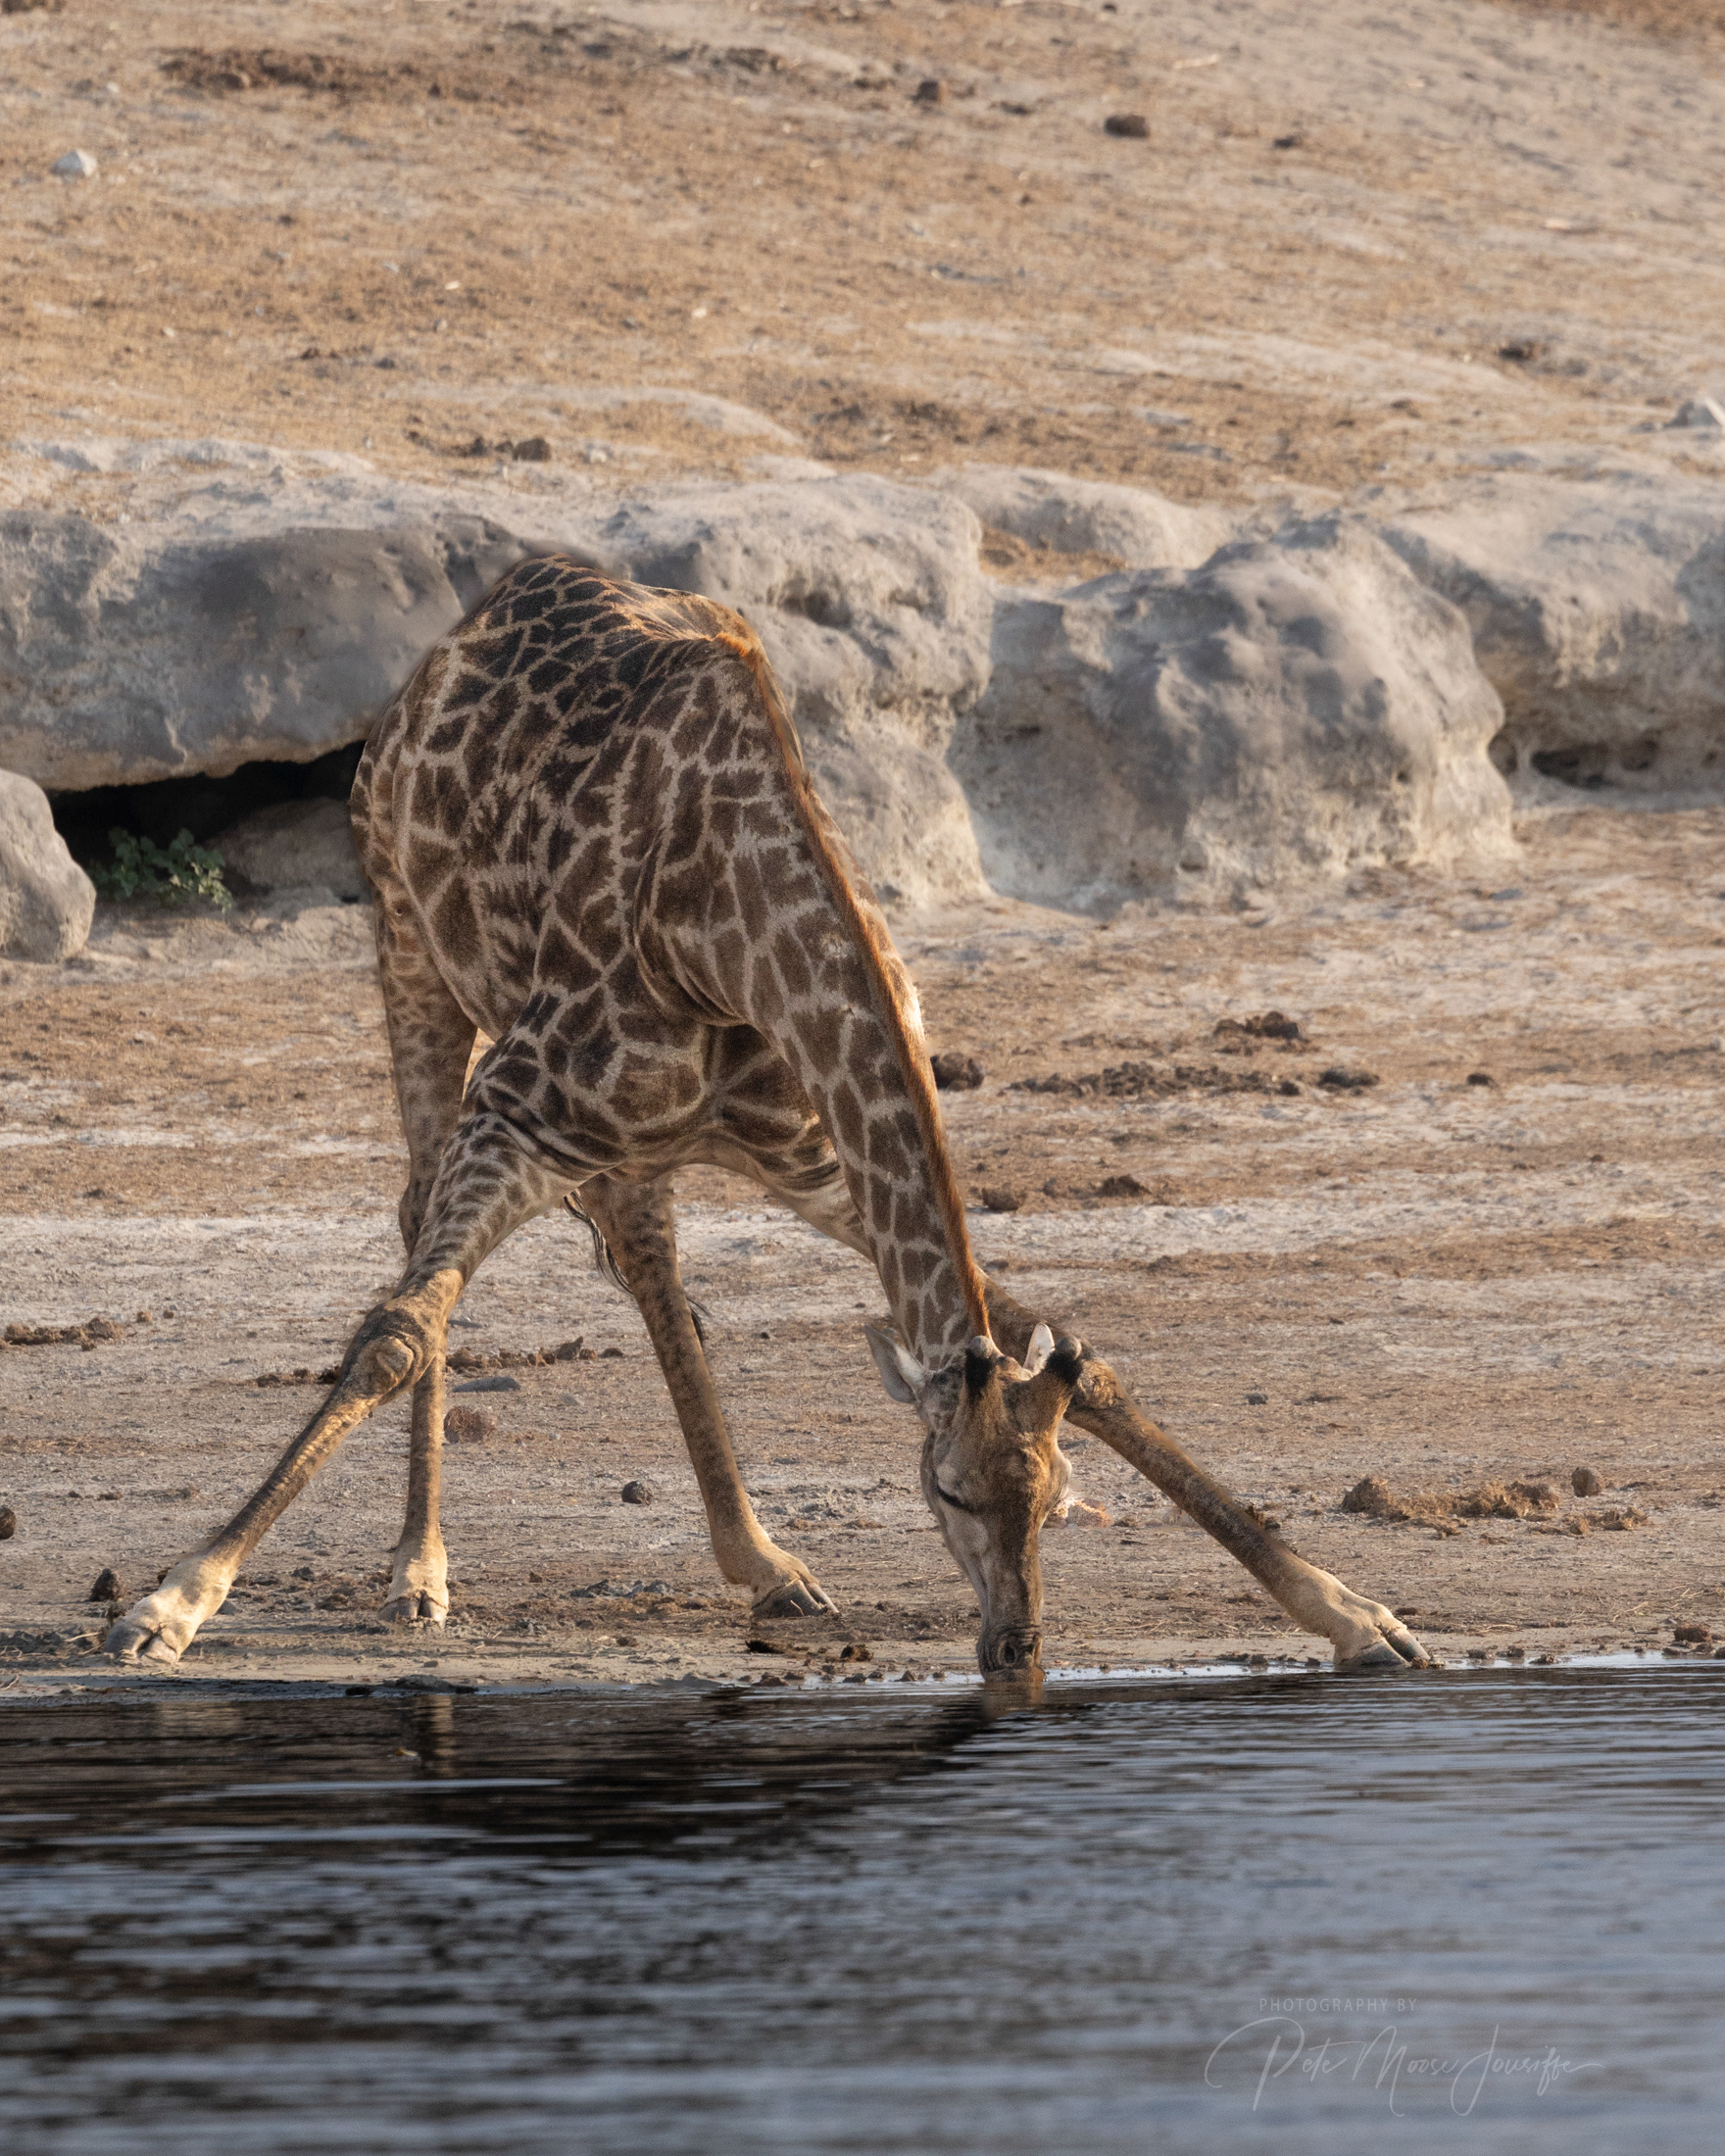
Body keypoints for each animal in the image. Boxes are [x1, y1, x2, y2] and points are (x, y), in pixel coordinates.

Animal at [105, 561, 1430, 1678]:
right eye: (946, 1491)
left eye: (1053, 1504)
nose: (1015, 1652)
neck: (732, 935)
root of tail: (446, 645)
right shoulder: (518, 1113)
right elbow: (395, 1332)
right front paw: (170, 1602)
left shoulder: (815, 1153)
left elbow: (1080, 1353)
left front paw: (1355, 1612)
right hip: (406, 942)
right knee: (422, 1231)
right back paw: (418, 1572)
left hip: (636, 1135)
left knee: (646, 1261)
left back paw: (767, 1565)